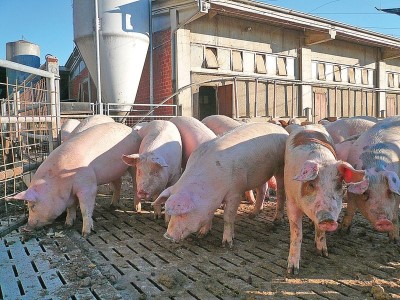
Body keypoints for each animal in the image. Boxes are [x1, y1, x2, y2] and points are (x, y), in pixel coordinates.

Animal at [6, 122, 142, 237]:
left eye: (33, 206)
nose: (26, 228)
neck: (60, 181)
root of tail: (132, 130)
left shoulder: (88, 185)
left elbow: (85, 208)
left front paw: (85, 233)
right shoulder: (70, 193)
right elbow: (71, 207)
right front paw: (67, 225)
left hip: (133, 164)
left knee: (135, 183)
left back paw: (136, 209)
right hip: (113, 172)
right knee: (118, 183)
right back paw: (112, 205)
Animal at [152, 122, 288, 246]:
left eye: (183, 214)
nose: (167, 236)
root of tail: (282, 129)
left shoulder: (236, 192)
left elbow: (228, 217)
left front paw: (227, 243)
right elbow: (210, 214)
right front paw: (201, 234)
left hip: (281, 167)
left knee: (281, 192)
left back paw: (276, 221)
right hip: (260, 174)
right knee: (262, 189)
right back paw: (253, 215)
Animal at [284, 125, 366, 274]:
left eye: (339, 186)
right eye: (311, 185)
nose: (327, 219)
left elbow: (321, 231)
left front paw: (323, 254)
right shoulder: (291, 201)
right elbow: (297, 233)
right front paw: (292, 271)